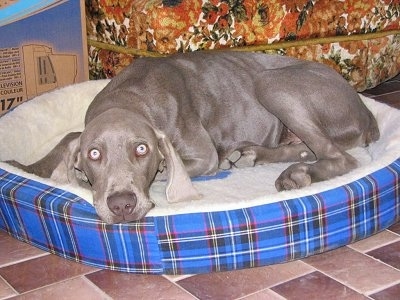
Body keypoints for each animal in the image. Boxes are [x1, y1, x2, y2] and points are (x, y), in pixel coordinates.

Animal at [8, 52, 378, 225]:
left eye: (142, 149)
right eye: (94, 154)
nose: (122, 205)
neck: (129, 97)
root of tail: (365, 109)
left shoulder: (202, 155)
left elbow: (166, 173)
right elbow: (68, 138)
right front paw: (27, 166)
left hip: (272, 82)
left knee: (339, 157)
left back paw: (298, 176)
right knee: (304, 148)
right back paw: (250, 156)